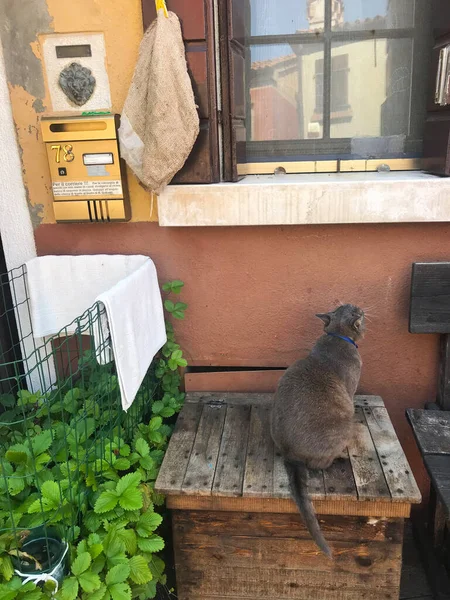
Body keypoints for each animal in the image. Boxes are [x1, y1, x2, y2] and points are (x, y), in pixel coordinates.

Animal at [268, 304, 364, 556]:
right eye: (353, 308)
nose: (360, 308)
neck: (337, 335)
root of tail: (290, 454)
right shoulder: (351, 390)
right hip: (343, 425)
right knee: (318, 464)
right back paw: (339, 456)